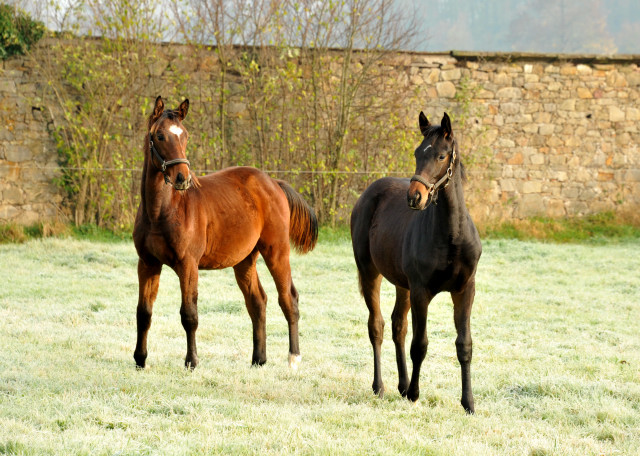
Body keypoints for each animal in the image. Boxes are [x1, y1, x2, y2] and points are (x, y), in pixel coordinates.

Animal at [133, 96, 318, 370]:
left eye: (185, 135)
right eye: (159, 136)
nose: (182, 178)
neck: (162, 211)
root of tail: (274, 183)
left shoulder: (188, 265)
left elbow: (189, 314)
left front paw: (191, 362)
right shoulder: (147, 263)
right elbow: (143, 312)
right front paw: (140, 360)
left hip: (276, 252)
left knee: (288, 298)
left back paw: (293, 358)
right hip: (244, 260)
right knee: (257, 302)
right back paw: (258, 359)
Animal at [350, 111, 480, 414]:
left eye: (442, 155)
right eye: (417, 153)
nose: (415, 197)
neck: (451, 236)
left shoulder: (465, 290)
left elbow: (464, 344)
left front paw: (468, 402)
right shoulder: (422, 291)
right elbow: (419, 344)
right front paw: (414, 394)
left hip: (402, 284)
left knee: (398, 325)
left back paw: (402, 384)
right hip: (370, 272)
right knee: (377, 326)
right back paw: (381, 386)